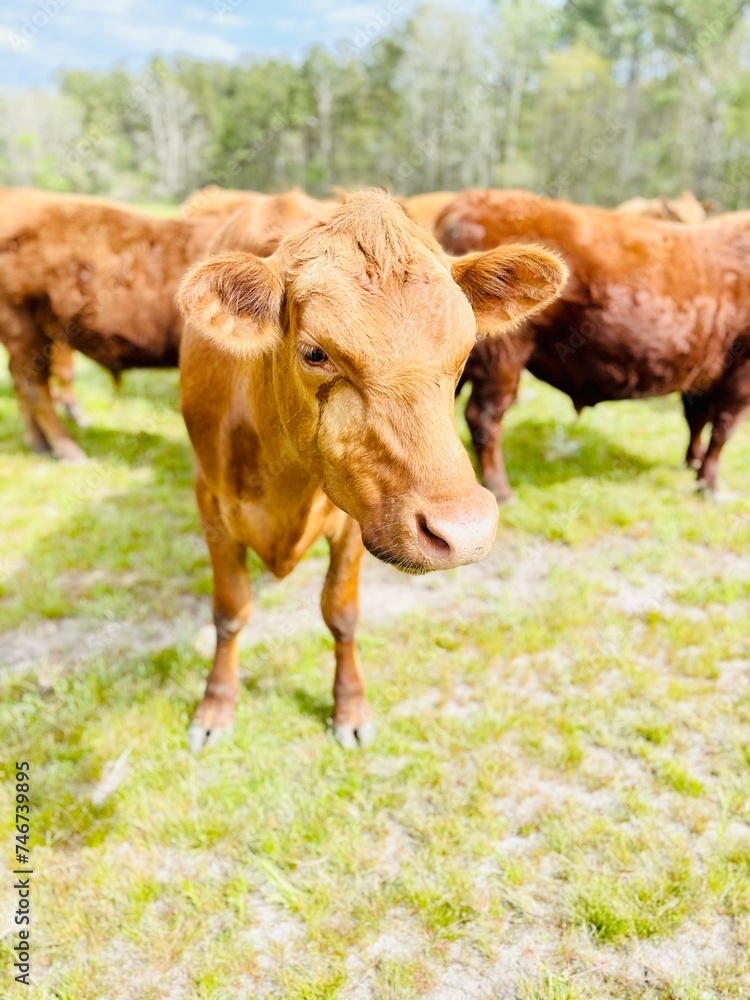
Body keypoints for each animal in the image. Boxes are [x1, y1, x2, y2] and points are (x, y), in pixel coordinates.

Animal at [177, 189, 567, 749]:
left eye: (466, 349)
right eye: (315, 353)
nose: (465, 531)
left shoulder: (349, 520)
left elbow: (341, 613)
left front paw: (351, 707)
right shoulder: (211, 503)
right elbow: (230, 612)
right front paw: (216, 705)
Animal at [435, 188, 750, 501]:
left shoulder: (704, 372)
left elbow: (697, 419)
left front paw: (692, 461)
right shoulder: (738, 377)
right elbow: (722, 431)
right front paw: (709, 484)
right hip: (503, 355)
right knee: (484, 418)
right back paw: (501, 488)